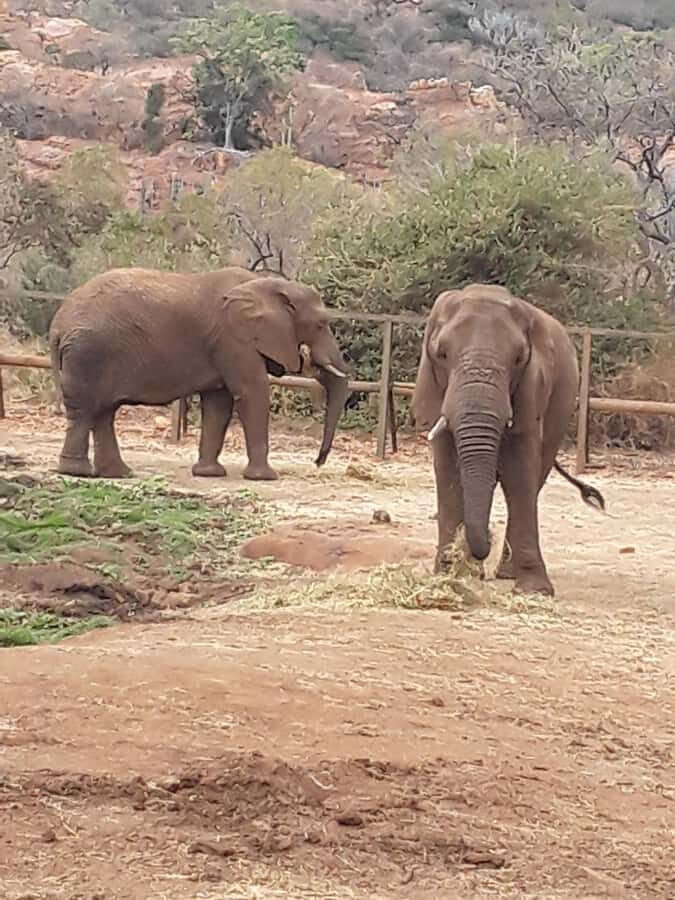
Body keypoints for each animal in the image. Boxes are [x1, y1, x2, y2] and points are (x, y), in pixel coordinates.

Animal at [49, 266, 350, 481]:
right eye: (321, 324)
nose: (318, 462)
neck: (265, 284)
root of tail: (58, 323)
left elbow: (218, 403)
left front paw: (209, 474)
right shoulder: (232, 339)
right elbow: (251, 392)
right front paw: (265, 478)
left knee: (103, 411)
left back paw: (118, 474)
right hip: (88, 353)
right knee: (86, 410)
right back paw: (77, 472)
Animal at [412, 284, 604, 596]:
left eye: (518, 359)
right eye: (441, 354)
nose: (482, 546)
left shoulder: (531, 389)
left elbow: (519, 471)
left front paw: (535, 590)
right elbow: (448, 470)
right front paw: (449, 576)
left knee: (535, 477)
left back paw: (506, 573)